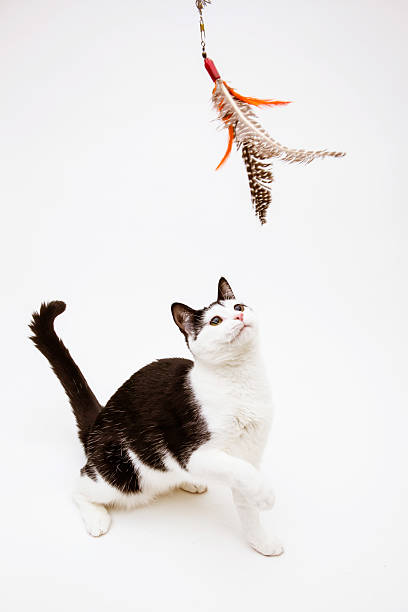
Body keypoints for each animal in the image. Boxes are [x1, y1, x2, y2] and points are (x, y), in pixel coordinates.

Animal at [29, 280, 284, 556]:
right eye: (215, 321)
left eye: (238, 306)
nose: (239, 316)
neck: (241, 382)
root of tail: (97, 424)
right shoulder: (193, 453)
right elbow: (240, 470)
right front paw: (266, 495)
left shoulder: (249, 452)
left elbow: (246, 497)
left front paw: (260, 541)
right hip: (119, 474)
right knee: (80, 487)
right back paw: (96, 518)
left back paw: (190, 483)